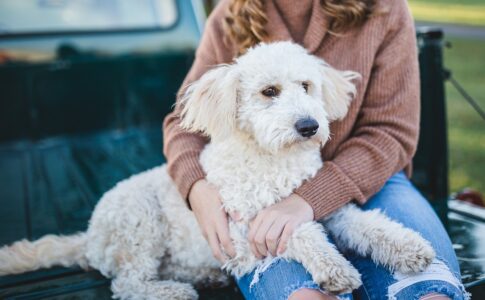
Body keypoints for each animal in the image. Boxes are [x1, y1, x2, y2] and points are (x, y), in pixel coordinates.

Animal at [0, 42, 434, 300]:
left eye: (307, 85)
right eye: (269, 92)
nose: (309, 125)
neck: (272, 156)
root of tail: (88, 238)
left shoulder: (329, 207)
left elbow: (371, 225)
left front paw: (410, 247)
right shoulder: (247, 228)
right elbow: (300, 233)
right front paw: (335, 268)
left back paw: (206, 277)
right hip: (140, 221)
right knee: (127, 284)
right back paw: (172, 291)